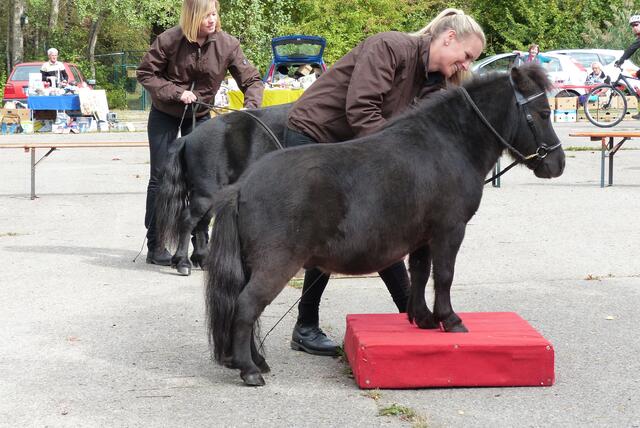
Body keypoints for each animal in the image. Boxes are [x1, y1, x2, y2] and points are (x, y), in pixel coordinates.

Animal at [155, 103, 292, 275]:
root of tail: (189, 137)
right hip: (206, 194)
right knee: (188, 220)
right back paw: (183, 262)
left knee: (202, 223)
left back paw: (202, 259)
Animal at [205, 64, 565, 386]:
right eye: (543, 112)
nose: (557, 163)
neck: (448, 145)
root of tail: (242, 186)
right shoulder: (450, 230)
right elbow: (444, 275)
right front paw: (450, 319)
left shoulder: (424, 238)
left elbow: (420, 273)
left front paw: (423, 318)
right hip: (276, 264)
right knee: (246, 306)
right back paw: (249, 370)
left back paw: (256, 361)